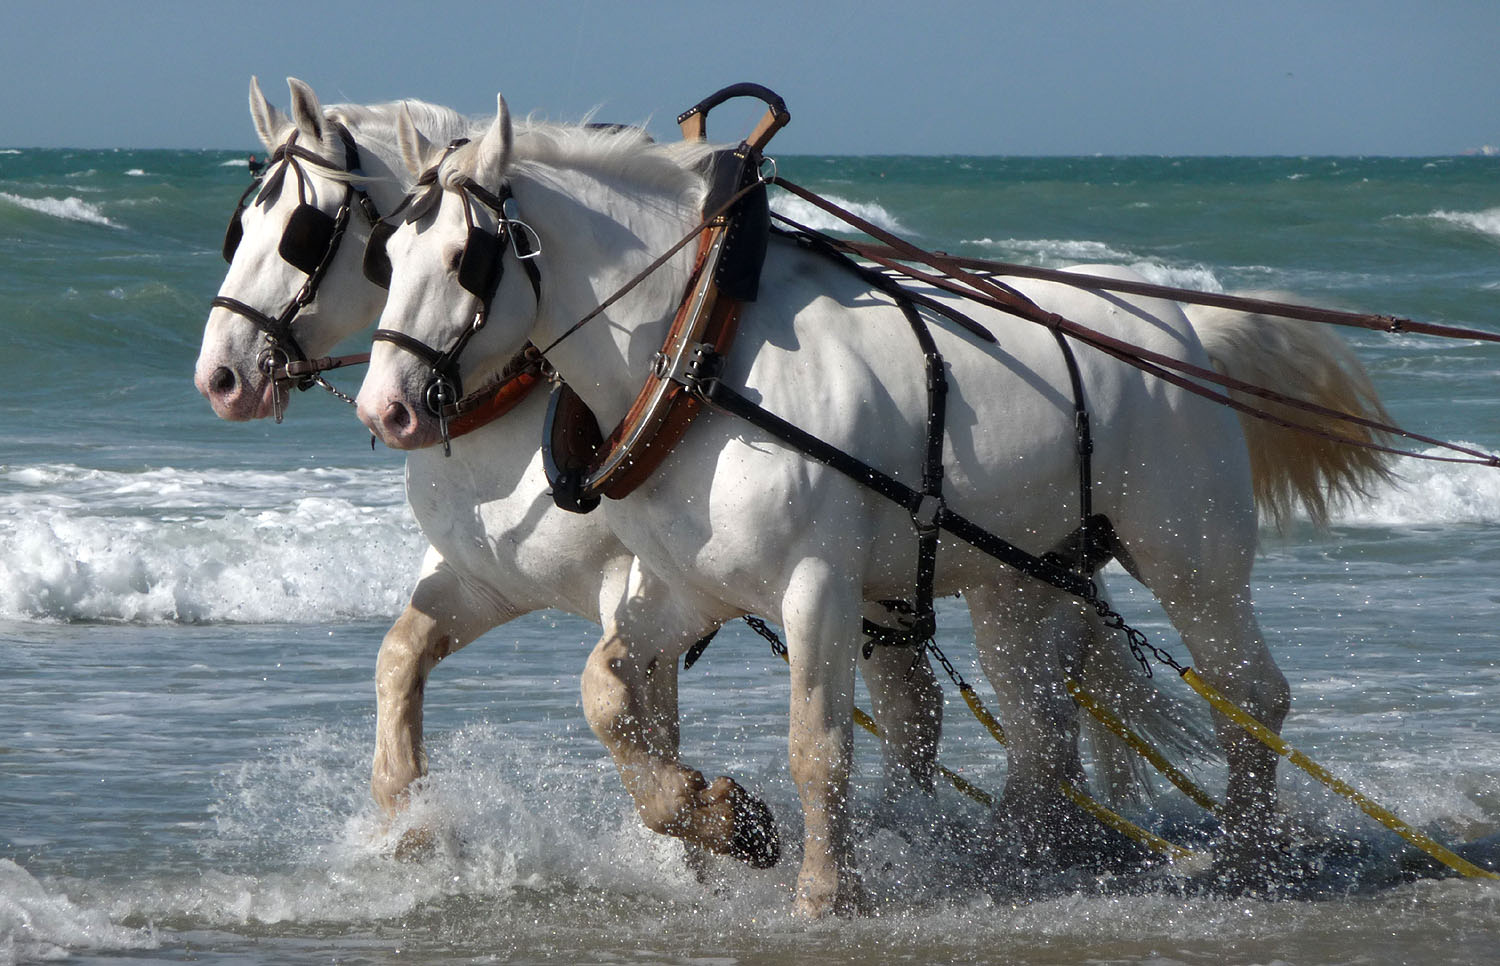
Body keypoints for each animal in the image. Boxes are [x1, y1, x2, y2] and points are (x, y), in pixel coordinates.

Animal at [360, 96, 1392, 912]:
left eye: (464, 257)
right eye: (387, 255)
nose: (385, 408)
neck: (703, 351)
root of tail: (1186, 329)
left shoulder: (818, 585)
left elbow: (818, 744)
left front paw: (826, 892)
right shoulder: (687, 586)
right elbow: (608, 690)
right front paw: (723, 819)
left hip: (1189, 555)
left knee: (1246, 694)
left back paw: (1248, 861)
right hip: (1023, 578)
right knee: (1043, 731)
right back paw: (1003, 862)